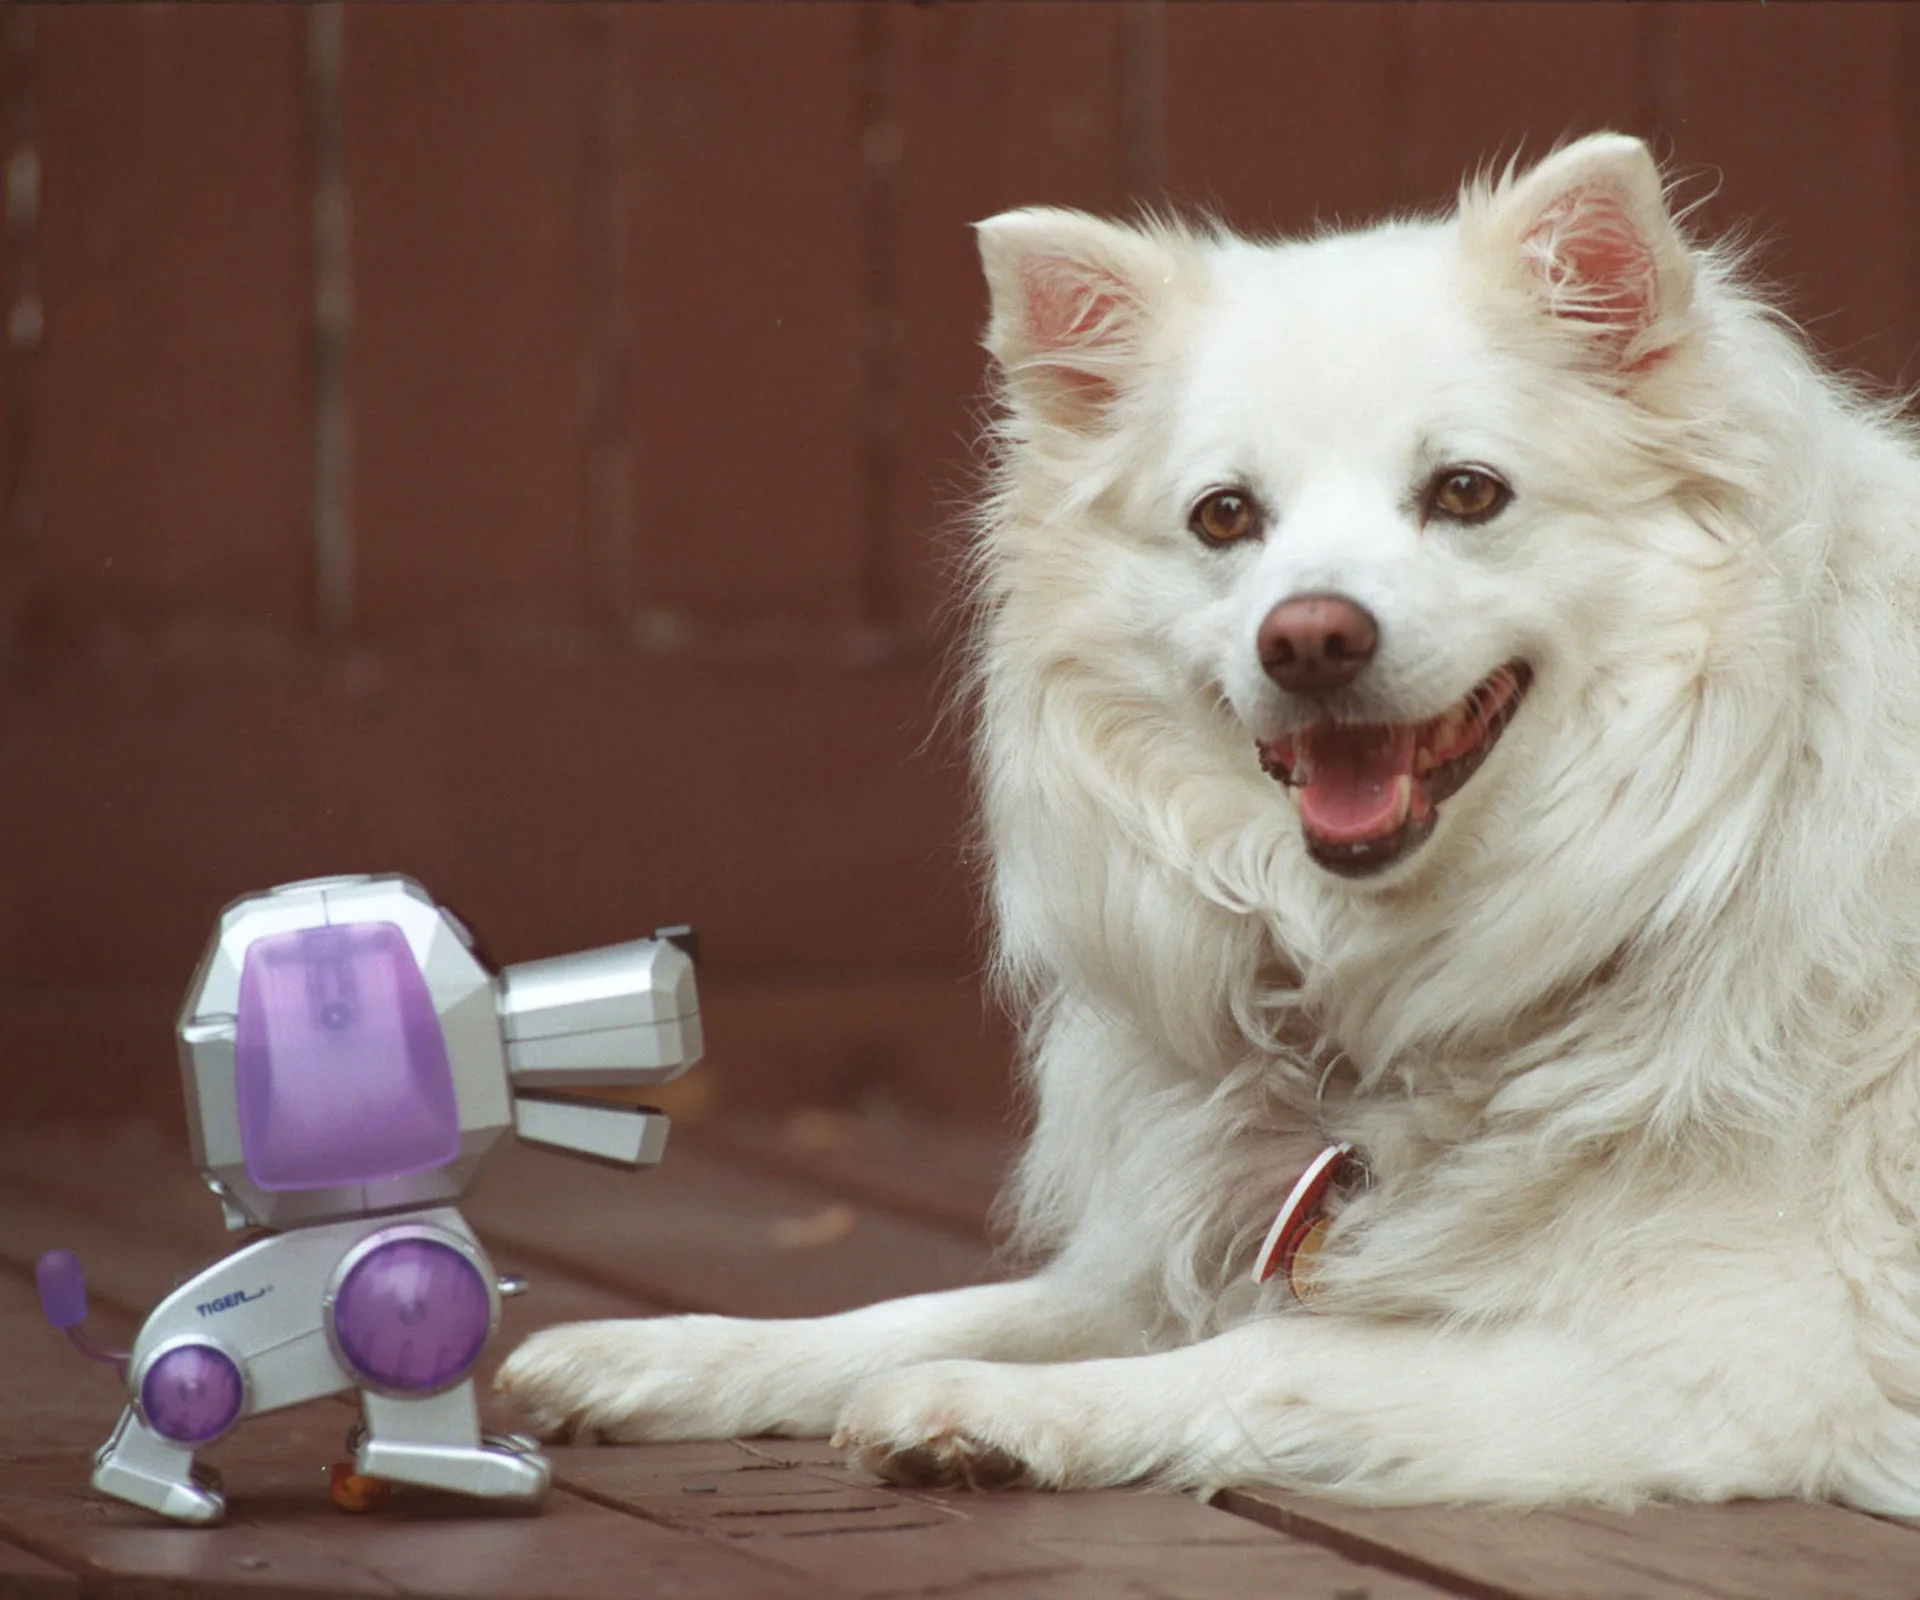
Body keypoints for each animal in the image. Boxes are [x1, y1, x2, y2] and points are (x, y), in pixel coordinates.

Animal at [491, 137, 1920, 1513]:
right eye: (1226, 515)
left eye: (1467, 493)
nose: (1311, 638)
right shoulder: (1169, 1249)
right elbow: (929, 1309)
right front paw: (661, 1353)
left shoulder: (1725, 1357)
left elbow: (1273, 1353)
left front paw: (998, 1412)